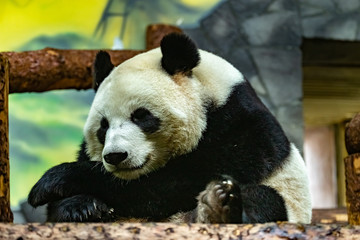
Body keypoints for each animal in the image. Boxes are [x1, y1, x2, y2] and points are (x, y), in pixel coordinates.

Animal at [28, 32, 310, 223]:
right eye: (103, 126)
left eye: (141, 116)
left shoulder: (243, 129)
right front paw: (82, 207)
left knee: (264, 199)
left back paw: (218, 210)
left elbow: (172, 184)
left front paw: (53, 181)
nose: (116, 156)